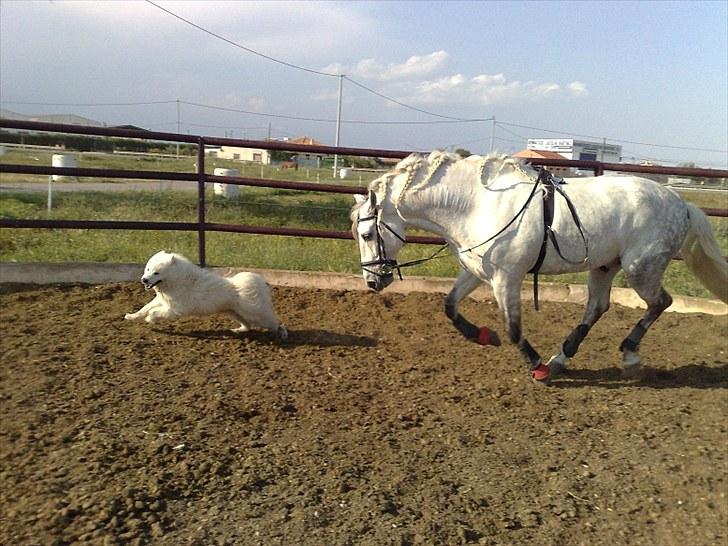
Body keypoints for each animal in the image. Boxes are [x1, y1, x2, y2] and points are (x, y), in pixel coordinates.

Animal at [123, 250, 286, 336]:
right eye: (148, 269)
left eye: (156, 273)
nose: (144, 280)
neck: (177, 280)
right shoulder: (161, 301)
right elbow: (144, 308)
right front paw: (131, 316)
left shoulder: (175, 310)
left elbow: (155, 312)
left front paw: (150, 319)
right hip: (234, 312)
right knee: (248, 325)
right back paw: (237, 330)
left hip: (255, 315)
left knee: (273, 322)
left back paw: (282, 333)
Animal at [350, 151, 724, 380]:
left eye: (367, 234)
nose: (372, 281)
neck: (475, 205)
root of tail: (682, 203)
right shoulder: (475, 273)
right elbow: (450, 306)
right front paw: (484, 336)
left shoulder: (507, 279)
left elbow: (514, 328)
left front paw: (536, 366)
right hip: (605, 266)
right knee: (598, 307)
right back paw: (563, 357)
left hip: (640, 268)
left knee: (660, 303)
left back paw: (627, 356)